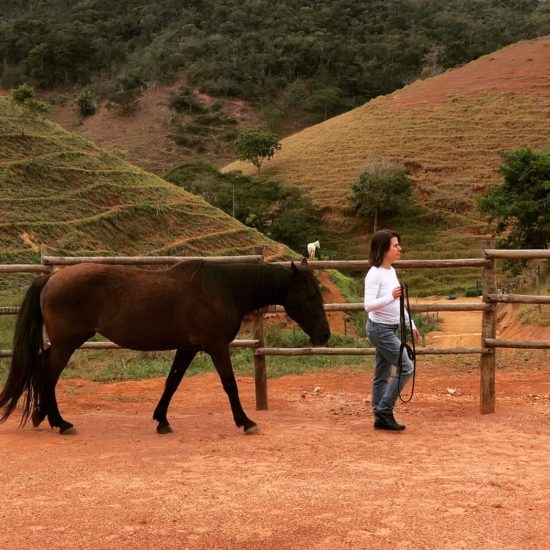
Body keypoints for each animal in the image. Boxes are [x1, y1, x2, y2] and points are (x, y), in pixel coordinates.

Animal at [0, 260, 330, 438]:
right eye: (310, 295)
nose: (324, 335)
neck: (223, 289)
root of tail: (51, 277)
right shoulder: (216, 347)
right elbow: (230, 385)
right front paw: (246, 422)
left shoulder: (187, 348)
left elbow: (172, 383)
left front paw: (162, 420)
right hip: (66, 343)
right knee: (48, 376)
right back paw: (60, 422)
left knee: (42, 372)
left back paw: (42, 416)